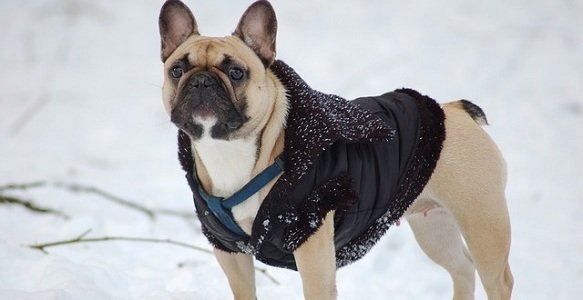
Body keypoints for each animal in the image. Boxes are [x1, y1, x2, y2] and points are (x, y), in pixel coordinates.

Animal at [157, 1, 512, 298]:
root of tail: (454, 110)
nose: (202, 81)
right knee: (462, 269)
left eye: (236, 72)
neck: (231, 150)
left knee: (496, 278)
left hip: (482, 223)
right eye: (177, 70)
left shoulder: (311, 247)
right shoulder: (229, 252)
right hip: (434, 226)